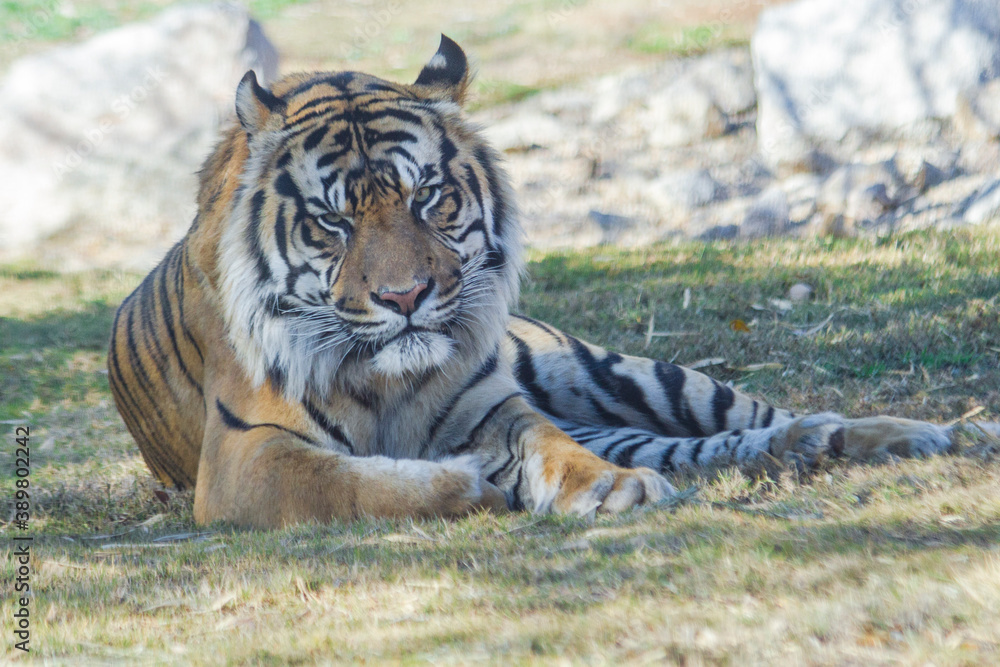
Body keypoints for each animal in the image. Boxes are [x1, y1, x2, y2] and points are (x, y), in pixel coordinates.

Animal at [108, 35, 953, 529]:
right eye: (333, 221)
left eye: (428, 197)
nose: (405, 298)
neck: (384, 382)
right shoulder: (245, 458)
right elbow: (352, 483)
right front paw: (464, 484)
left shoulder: (494, 405)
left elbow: (552, 445)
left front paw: (609, 489)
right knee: (706, 446)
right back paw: (811, 448)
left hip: (622, 371)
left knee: (748, 414)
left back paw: (913, 432)